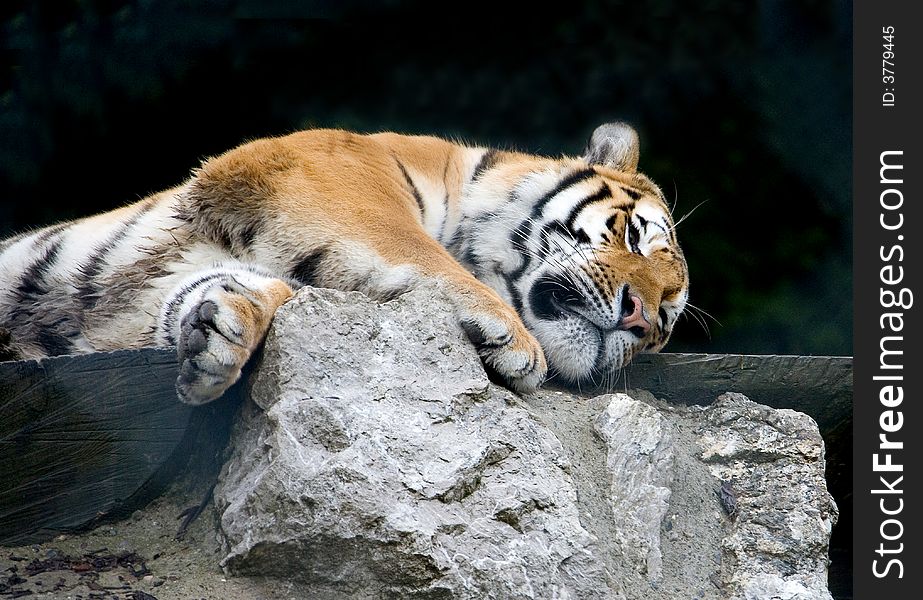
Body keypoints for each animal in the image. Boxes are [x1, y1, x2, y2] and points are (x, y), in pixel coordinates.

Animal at [0, 121, 688, 404]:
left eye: (666, 321)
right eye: (632, 236)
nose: (639, 319)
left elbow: (242, 289)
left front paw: (220, 335)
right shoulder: (333, 169)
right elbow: (409, 244)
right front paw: (514, 339)